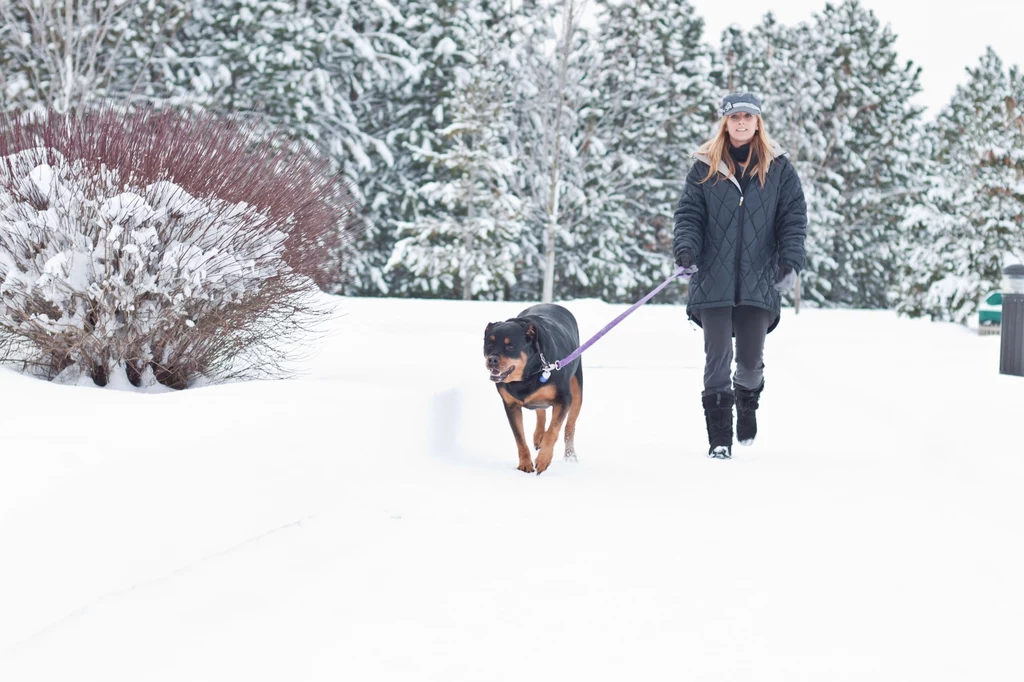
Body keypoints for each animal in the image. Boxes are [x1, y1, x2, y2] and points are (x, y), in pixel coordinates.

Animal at [481, 303, 581, 473]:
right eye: (489, 344)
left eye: (510, 346)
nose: (492, 360)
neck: (527, 374)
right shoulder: (510, 404)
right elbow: (519, 437)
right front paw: (525, 464)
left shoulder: (564, 399)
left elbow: (553, 431)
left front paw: (543, 460)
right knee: (541, 411)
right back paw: (538, 436)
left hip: (577, 386)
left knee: (570, 425)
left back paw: (570, 456)